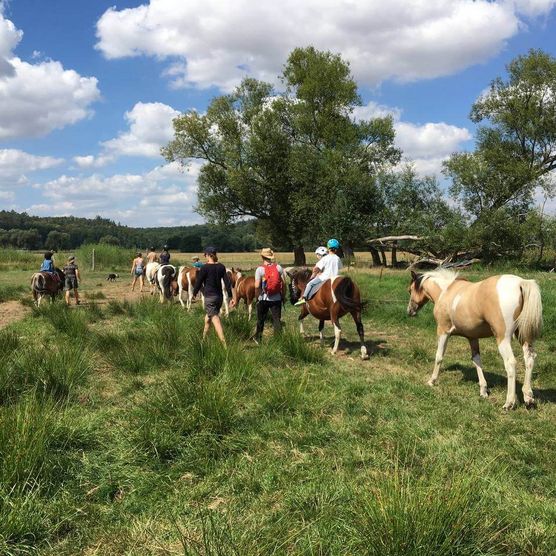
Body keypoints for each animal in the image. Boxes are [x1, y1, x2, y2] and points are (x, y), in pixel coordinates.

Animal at [406, 270, 540, 408]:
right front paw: (483, 391)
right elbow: (476, 360)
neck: (446, 291)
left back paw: (509, 403)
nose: (410, 311)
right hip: (524, 336)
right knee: (529, 358)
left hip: (503, 338)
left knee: (510, 363)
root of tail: (520, 283)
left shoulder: (443, 331)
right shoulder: (472, 337)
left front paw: (431, 381)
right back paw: (528, 398)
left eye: (410, 290)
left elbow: (439, 356)